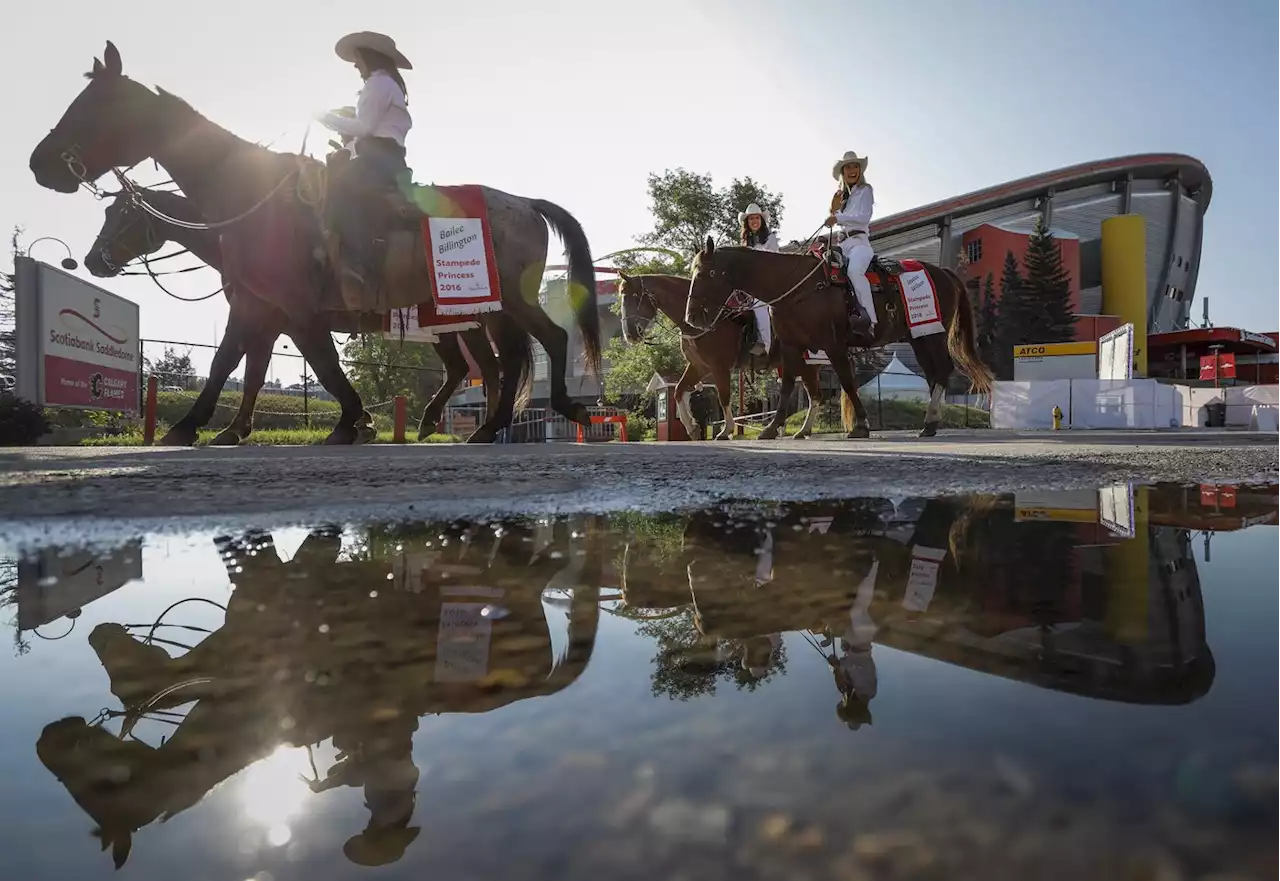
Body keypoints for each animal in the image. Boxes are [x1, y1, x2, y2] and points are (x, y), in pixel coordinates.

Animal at [85, 188, 532, 443]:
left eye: (123, 214)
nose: (92, 260)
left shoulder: (264, 316)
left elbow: (230, 363)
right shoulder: (267, 323)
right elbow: (253, 374)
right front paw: (235, 428)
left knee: (486, 366)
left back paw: (483, 425)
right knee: (476, 368)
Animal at [616, 271, 819, 440]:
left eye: (635, 297)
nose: (630, 334)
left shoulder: (719, 366)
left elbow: (724, 396)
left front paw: (725, 430)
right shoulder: (699, 366)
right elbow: (679, 391)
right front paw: (692, 428)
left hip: (805, 363)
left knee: (811, 394)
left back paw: (795, 429)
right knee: (811, 395)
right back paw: (796, 430)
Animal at [686, 239, 993, 437]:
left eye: (706, 273)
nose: (692, 316)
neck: (797, 286)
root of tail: (944, 273)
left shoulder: (833, 345)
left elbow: (847, 382)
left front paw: (861, 425)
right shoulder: (791, 347)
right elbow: (787, 387)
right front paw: (772, 428)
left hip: (932, 334)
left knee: (942, 370)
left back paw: (929, 422)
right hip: (919, 337)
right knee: (933, 374)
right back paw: (930, 423)